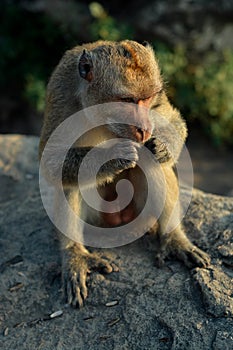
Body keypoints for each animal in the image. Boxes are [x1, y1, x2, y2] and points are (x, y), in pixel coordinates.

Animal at [39, 40, 210, 306]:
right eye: (127, 100)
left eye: (146, 99)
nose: (145, 128)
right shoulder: (60, 93)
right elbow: (51, 159)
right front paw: (113, 157)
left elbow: (173, 121)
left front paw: (162, 145)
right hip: (97, 218)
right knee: (71, 181)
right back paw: (75, 254)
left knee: (151, 162)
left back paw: (174, 238)